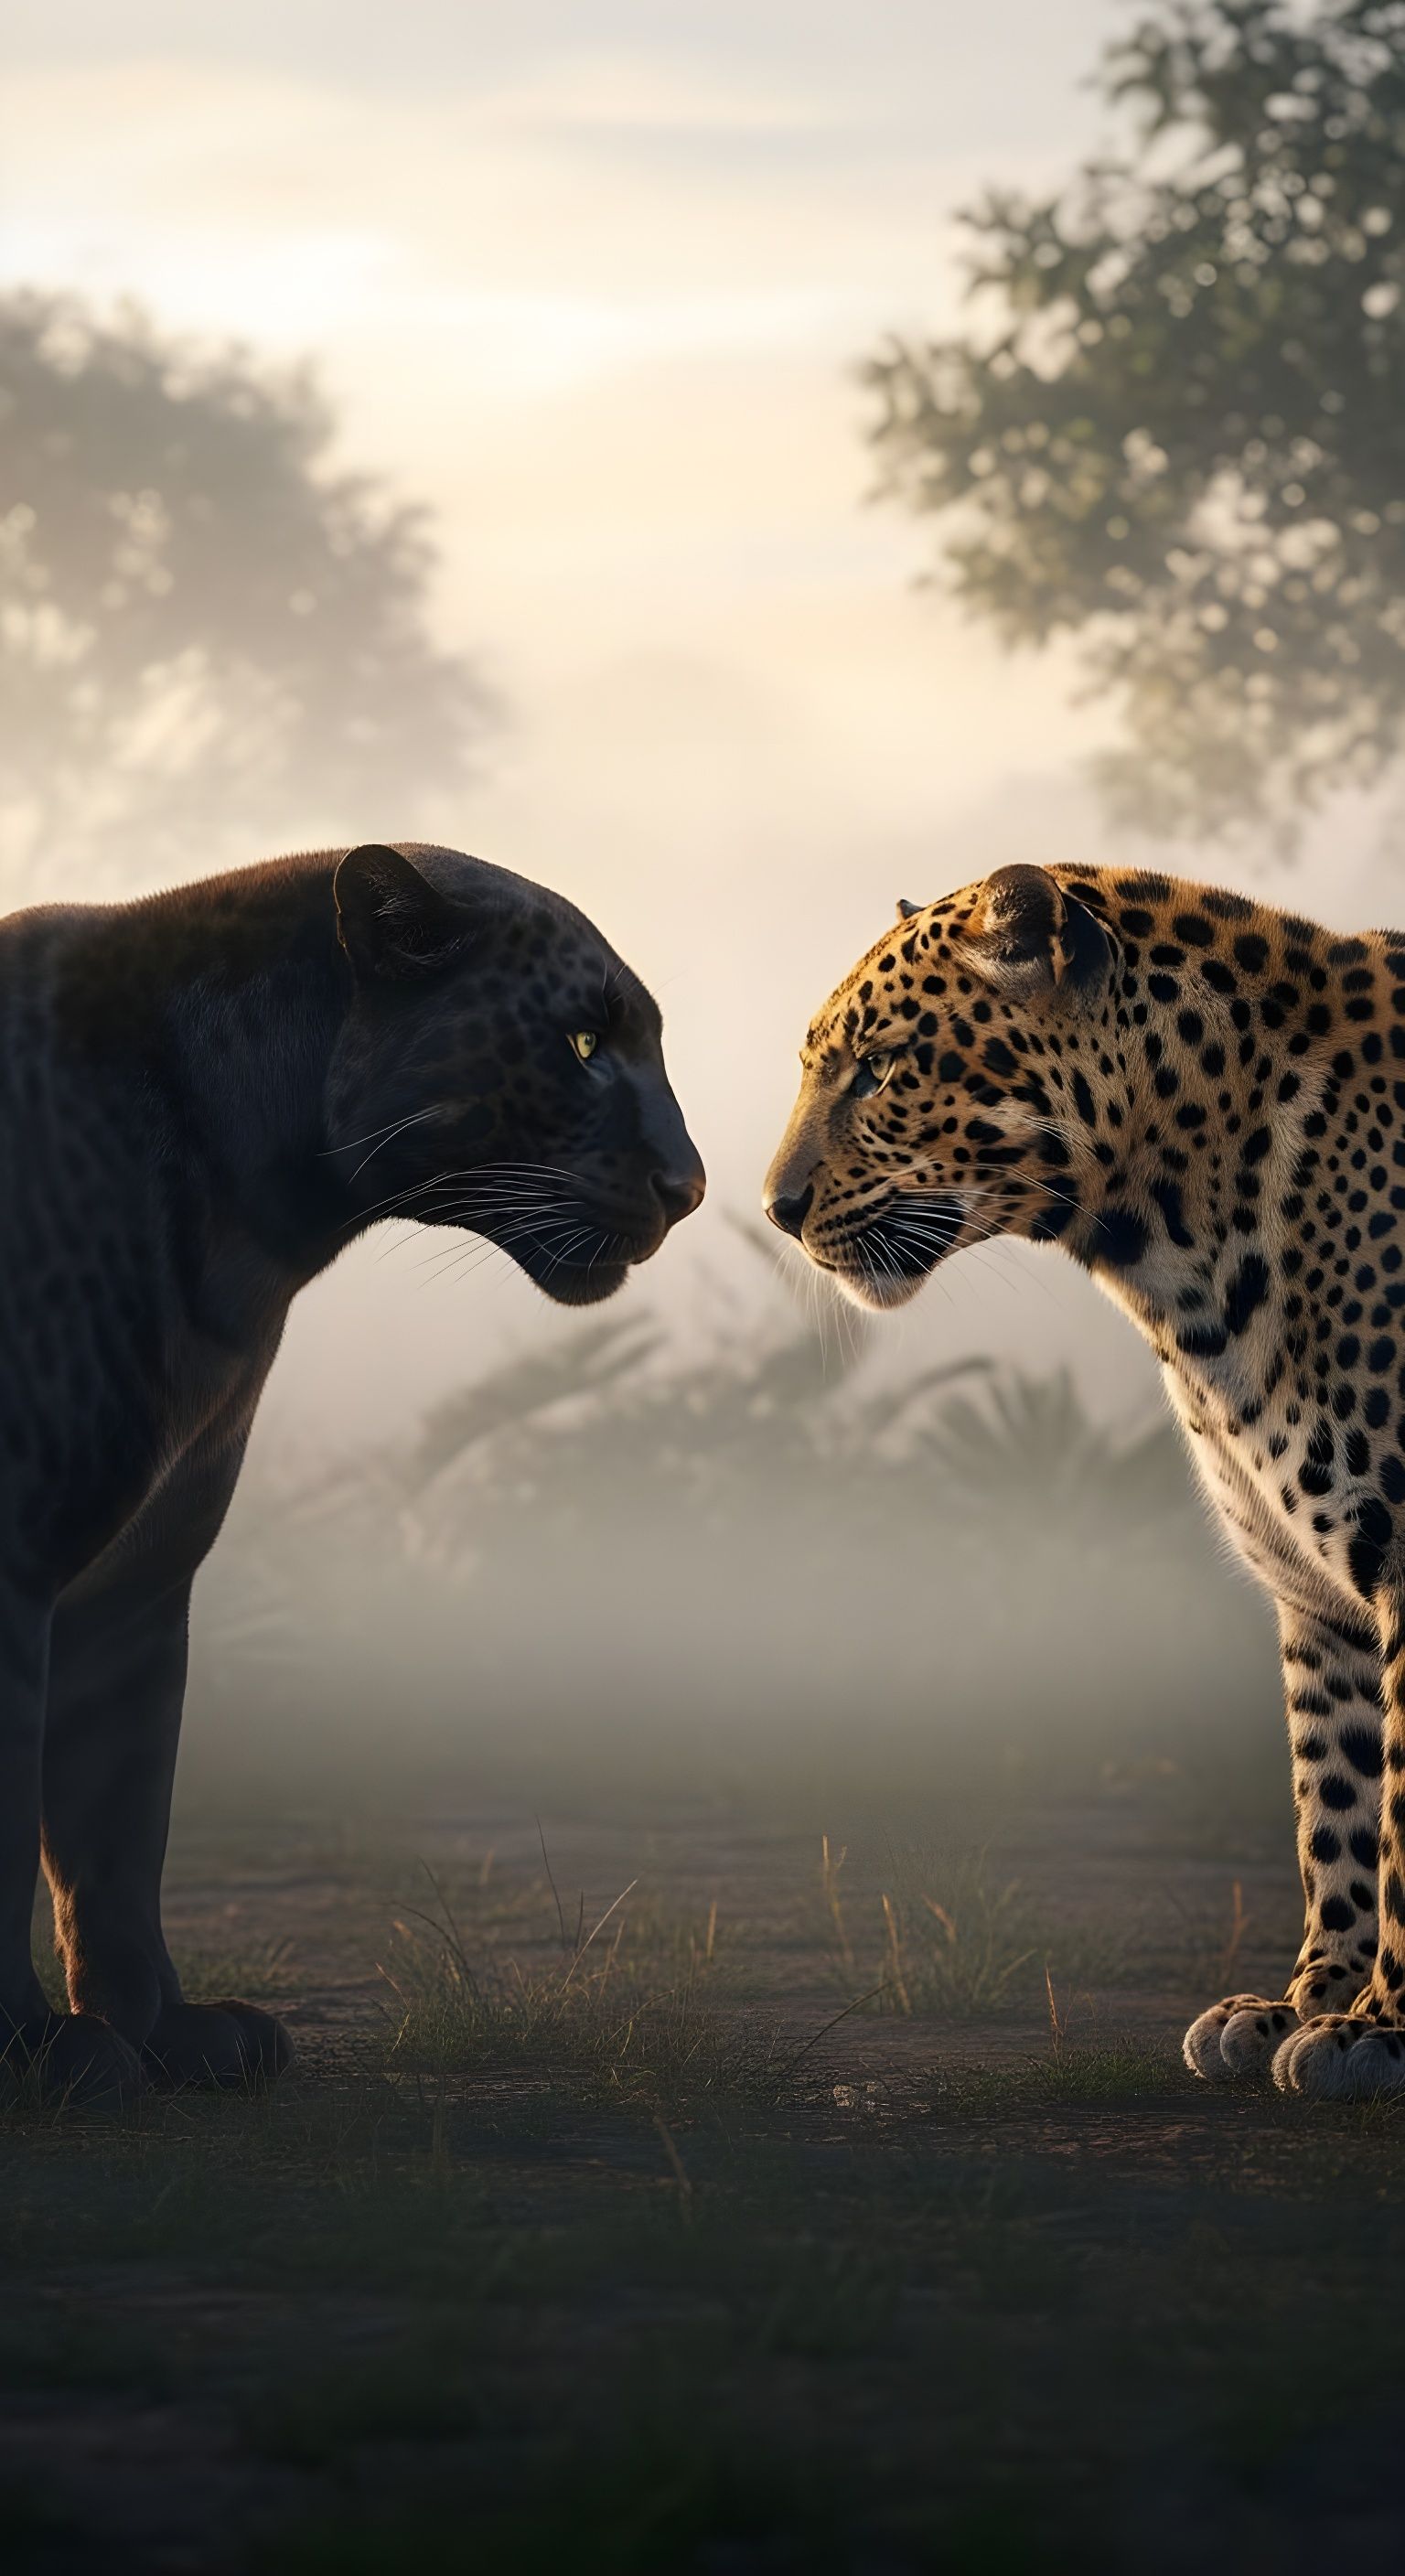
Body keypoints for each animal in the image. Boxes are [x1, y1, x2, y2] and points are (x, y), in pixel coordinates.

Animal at [0, 840, 703, 2102]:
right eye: (583, 1043)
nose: (695, 1183)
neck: (249, 1225)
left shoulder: (139, 1584)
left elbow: (118, 1823)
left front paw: (167, 2030)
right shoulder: (17, 1563)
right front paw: (35, 2053)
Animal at [766, 858, 1405, 2100]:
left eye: (880, 1066)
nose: (776, 1207)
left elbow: (1399, 1820)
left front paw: (1386, 2024)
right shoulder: (1318, 1596)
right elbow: (1339, 1806)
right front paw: (1310, 2004)